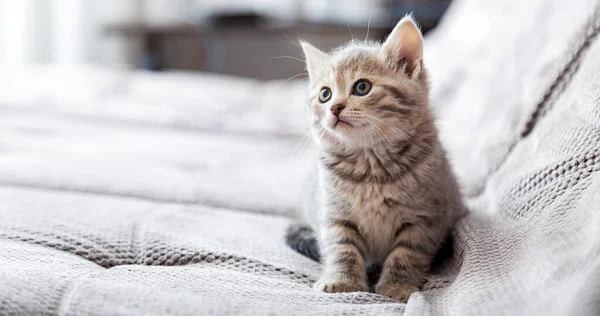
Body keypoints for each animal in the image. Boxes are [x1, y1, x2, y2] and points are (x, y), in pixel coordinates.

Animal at [288, 16, 466, 302]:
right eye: (325, 94)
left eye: (362, 87)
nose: (334, 107)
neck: (370, 167)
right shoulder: (334, 215)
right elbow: (342, 248)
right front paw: (343, 281)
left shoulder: (424, 219)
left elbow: (407, 254)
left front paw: (397, 287)